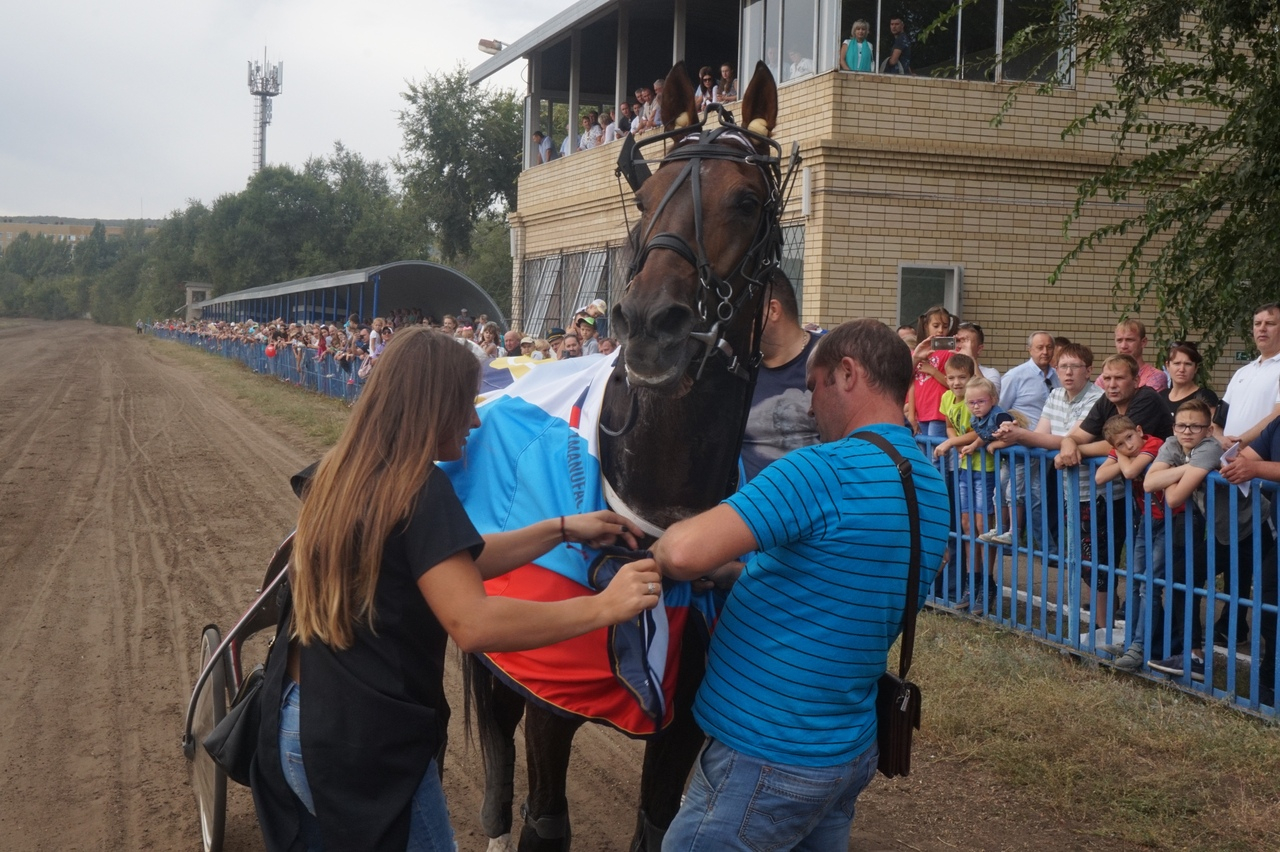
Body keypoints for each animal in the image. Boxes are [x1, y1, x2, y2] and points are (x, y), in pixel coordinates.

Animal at [465, 61, 793, 849]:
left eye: (744, 201)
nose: (648, 322)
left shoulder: (683, 719)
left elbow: (658, 820)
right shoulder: (548, 698)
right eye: (644, 198)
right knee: (495, 753)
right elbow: (543, 819)